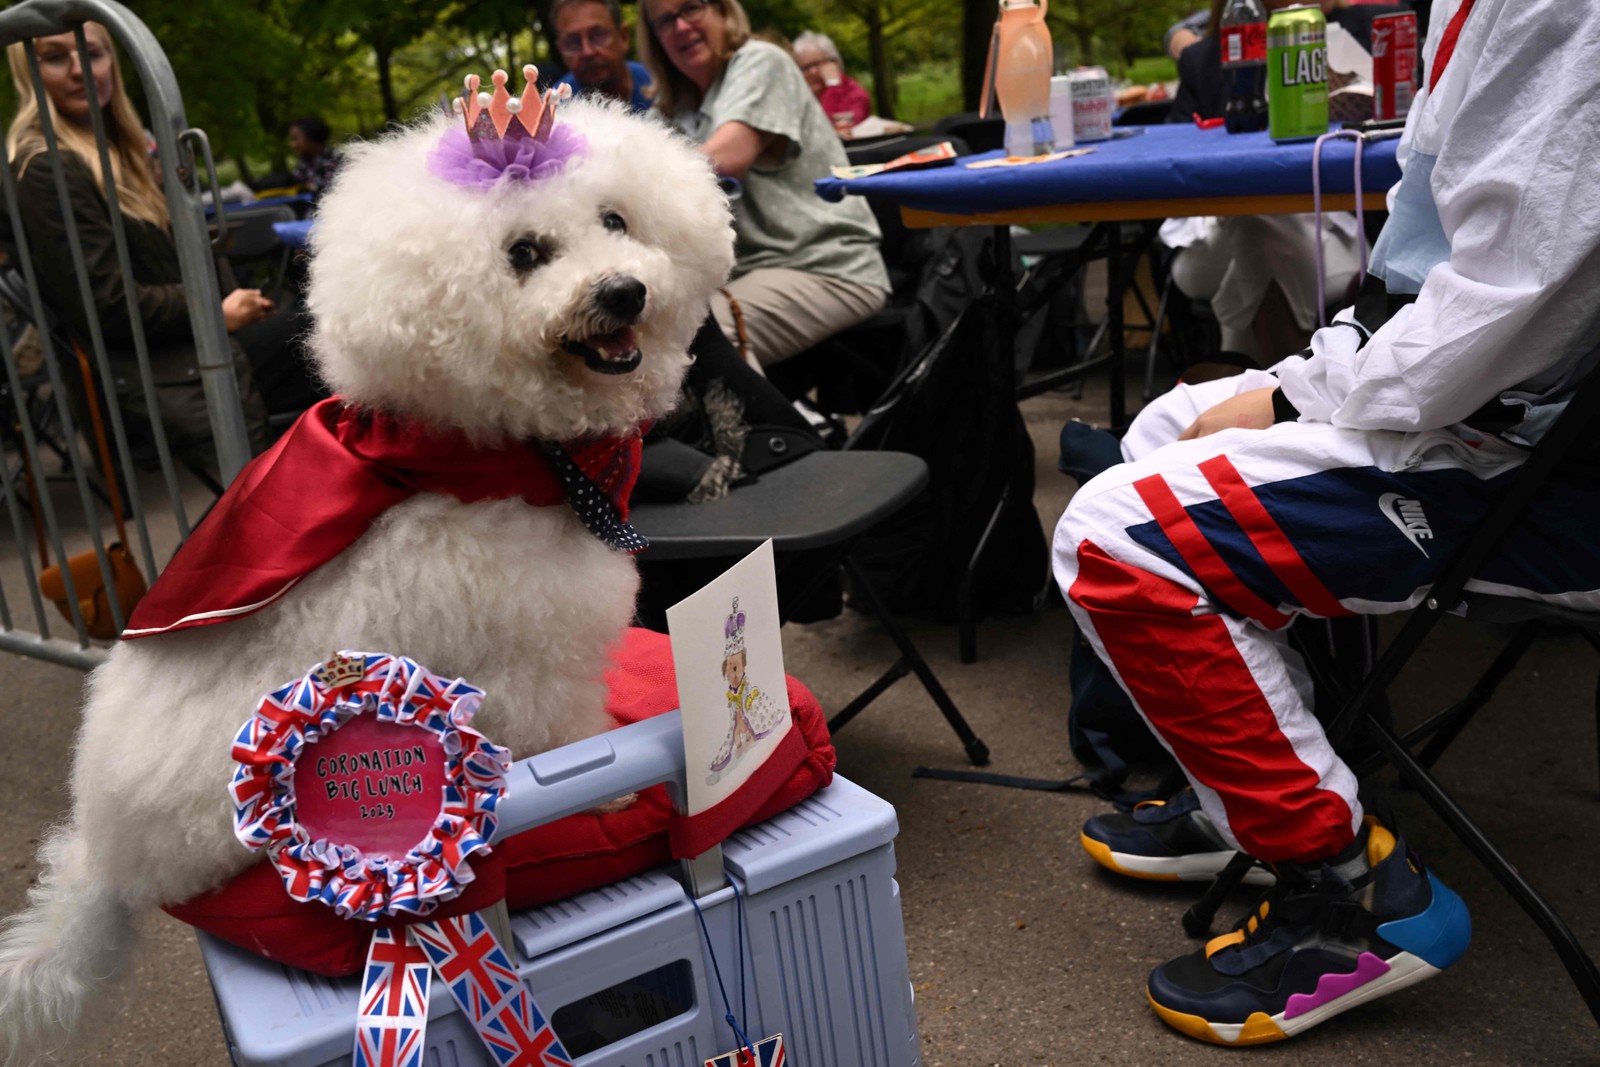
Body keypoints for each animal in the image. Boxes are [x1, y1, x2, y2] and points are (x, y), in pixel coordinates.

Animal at [0, 95, 732, 1055]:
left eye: (617, 221)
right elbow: (569, 743)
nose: (624, 292)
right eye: (523, 253)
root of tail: (101, 846)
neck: (489, 459)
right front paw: (614, 804)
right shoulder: (528, 670)